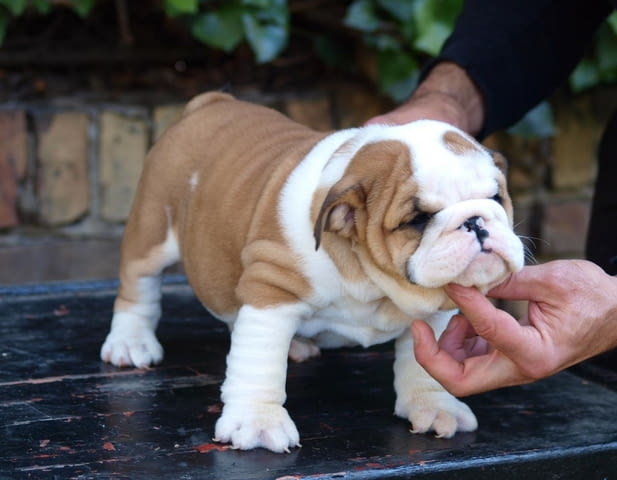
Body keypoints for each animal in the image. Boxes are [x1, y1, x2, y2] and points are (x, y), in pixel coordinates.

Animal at [101, 93, 524, 454]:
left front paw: (435, 406)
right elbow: (258, 360)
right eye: (417, 220)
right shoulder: (271, 289)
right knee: (138, 286)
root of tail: (210, 102)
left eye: (496, 197)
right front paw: (257, 421)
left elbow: (426, 363)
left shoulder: (436, 309)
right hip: (152, 228)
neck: (372, 279)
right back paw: (130, 342)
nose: (475, 221)